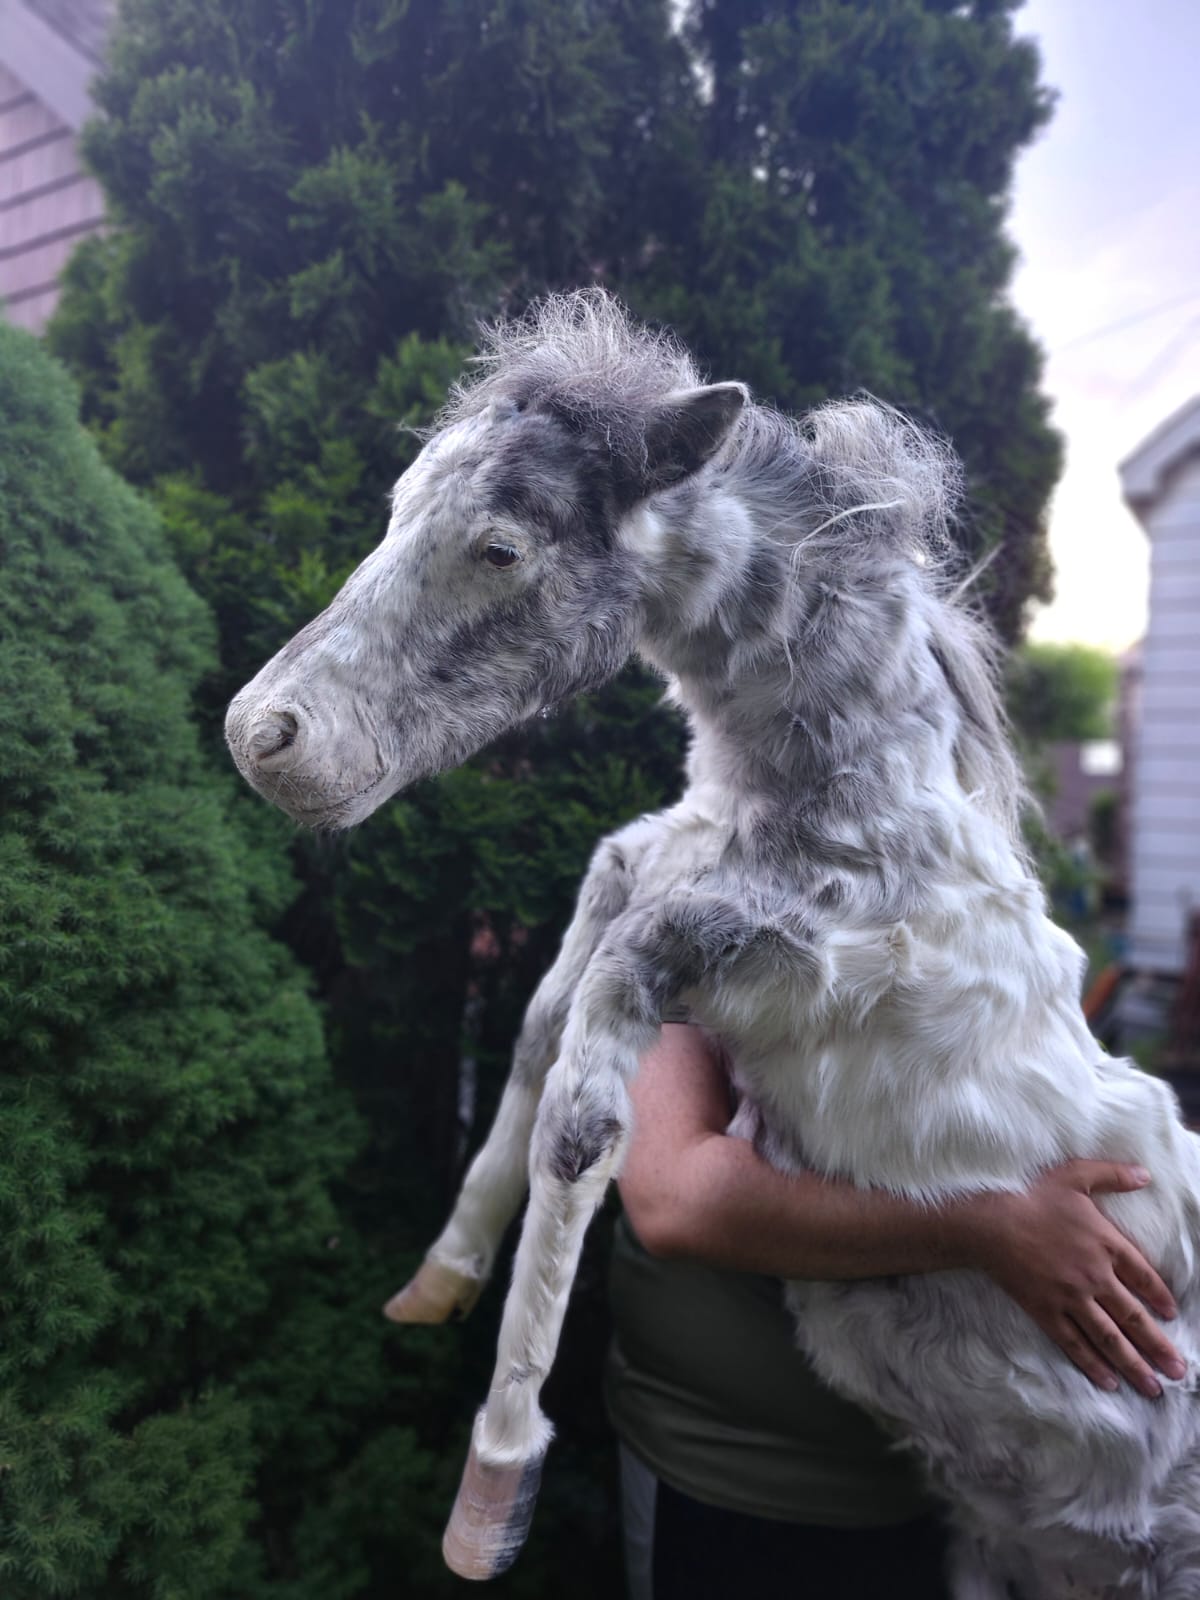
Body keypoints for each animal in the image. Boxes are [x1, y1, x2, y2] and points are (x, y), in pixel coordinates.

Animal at [226, 291, 1200, 1597]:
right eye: (395, 505)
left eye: (502, 547)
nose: (265, 736)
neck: (849, 821)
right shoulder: (640, 870)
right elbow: (538, 1024)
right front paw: (438, 1280)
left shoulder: (748, 962)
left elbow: (584, 1116)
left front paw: (491, 1493)